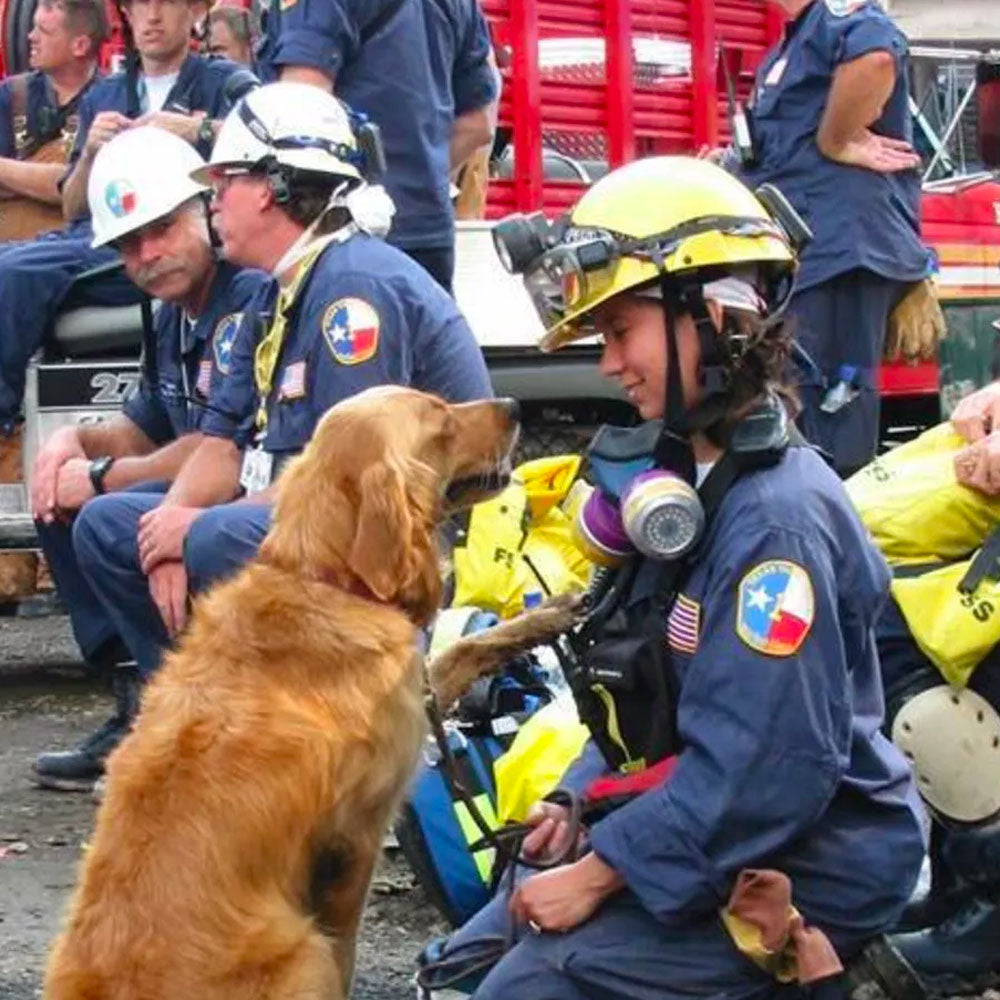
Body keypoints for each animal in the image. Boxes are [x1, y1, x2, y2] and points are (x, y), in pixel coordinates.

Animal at [44, 384, 528, 1000]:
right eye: (440, 419)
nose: (514, 406)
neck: (323, 578)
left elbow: (465, 647)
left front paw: (554, 615)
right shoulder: (356, 839)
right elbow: (347, 951)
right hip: (303, 949)